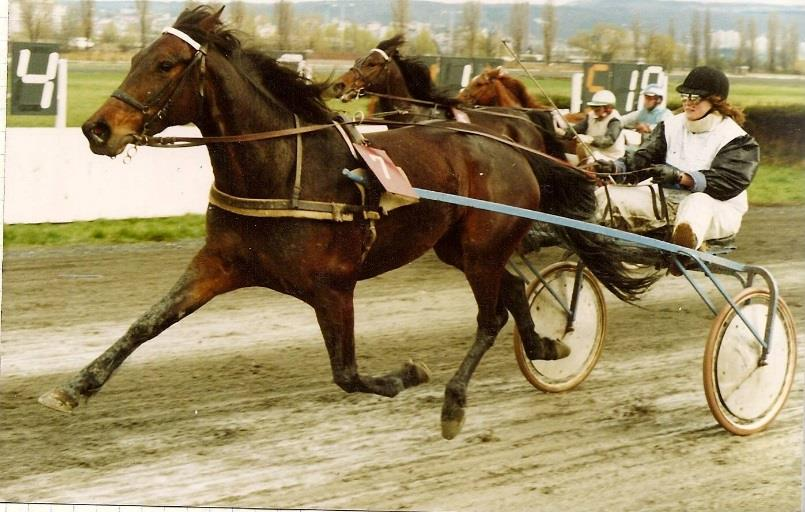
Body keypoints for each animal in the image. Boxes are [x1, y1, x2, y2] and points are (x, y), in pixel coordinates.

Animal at [39, 6, 660, 440]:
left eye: (165, 64)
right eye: (136, 58)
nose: (97, 128)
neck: (283, 170)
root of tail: (512, 143)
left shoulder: (333, 287)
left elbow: (348, 373)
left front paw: (409, 374)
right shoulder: (221, 262)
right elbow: (146, 324)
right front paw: (74, 388)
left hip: (483, 246)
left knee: (492, 315)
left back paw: (456, 400)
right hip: (461, 247)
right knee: (510, 291)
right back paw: (548, 346)